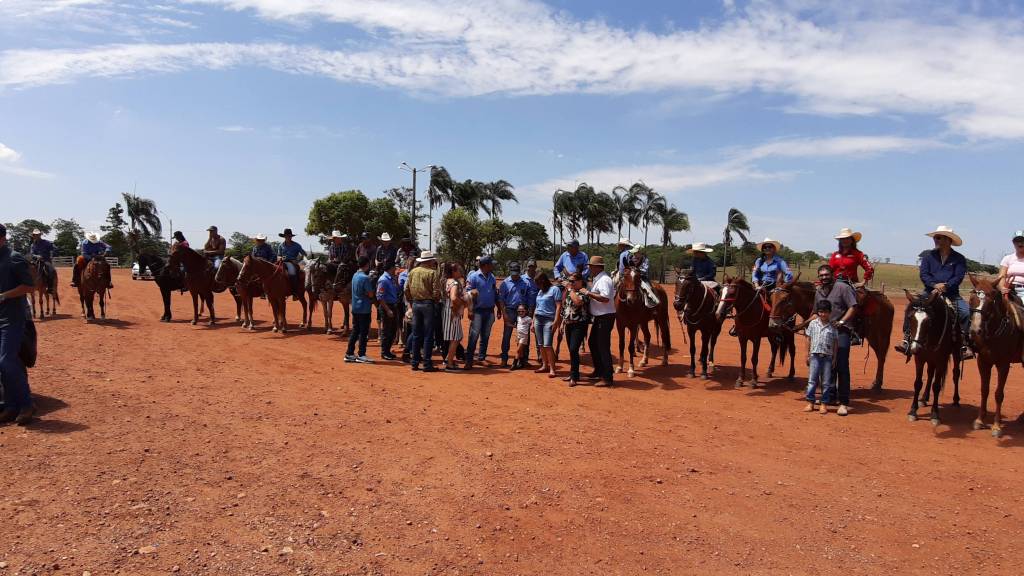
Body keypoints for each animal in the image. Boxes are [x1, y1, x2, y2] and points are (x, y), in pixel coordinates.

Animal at [902, 289, 961, 426]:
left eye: (929, 321)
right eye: (910, 318)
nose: (914, 348)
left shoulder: (940, 360)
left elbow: (937, 386)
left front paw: (935, 414)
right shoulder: (919, 359)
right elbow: (918, 383)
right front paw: (913, 411)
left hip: (955, 353)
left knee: (956, 373)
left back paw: (956, 400)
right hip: (929, 359)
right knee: (930, 374)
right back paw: (924, 398)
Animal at [968, 274, 1023, 437]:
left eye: (990, 301)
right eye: (971, 298)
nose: (975, 331)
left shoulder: (1003, 364)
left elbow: (999, 393)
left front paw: (997, 426)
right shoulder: (983, 362)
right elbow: (984, 390)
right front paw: (980, 420)